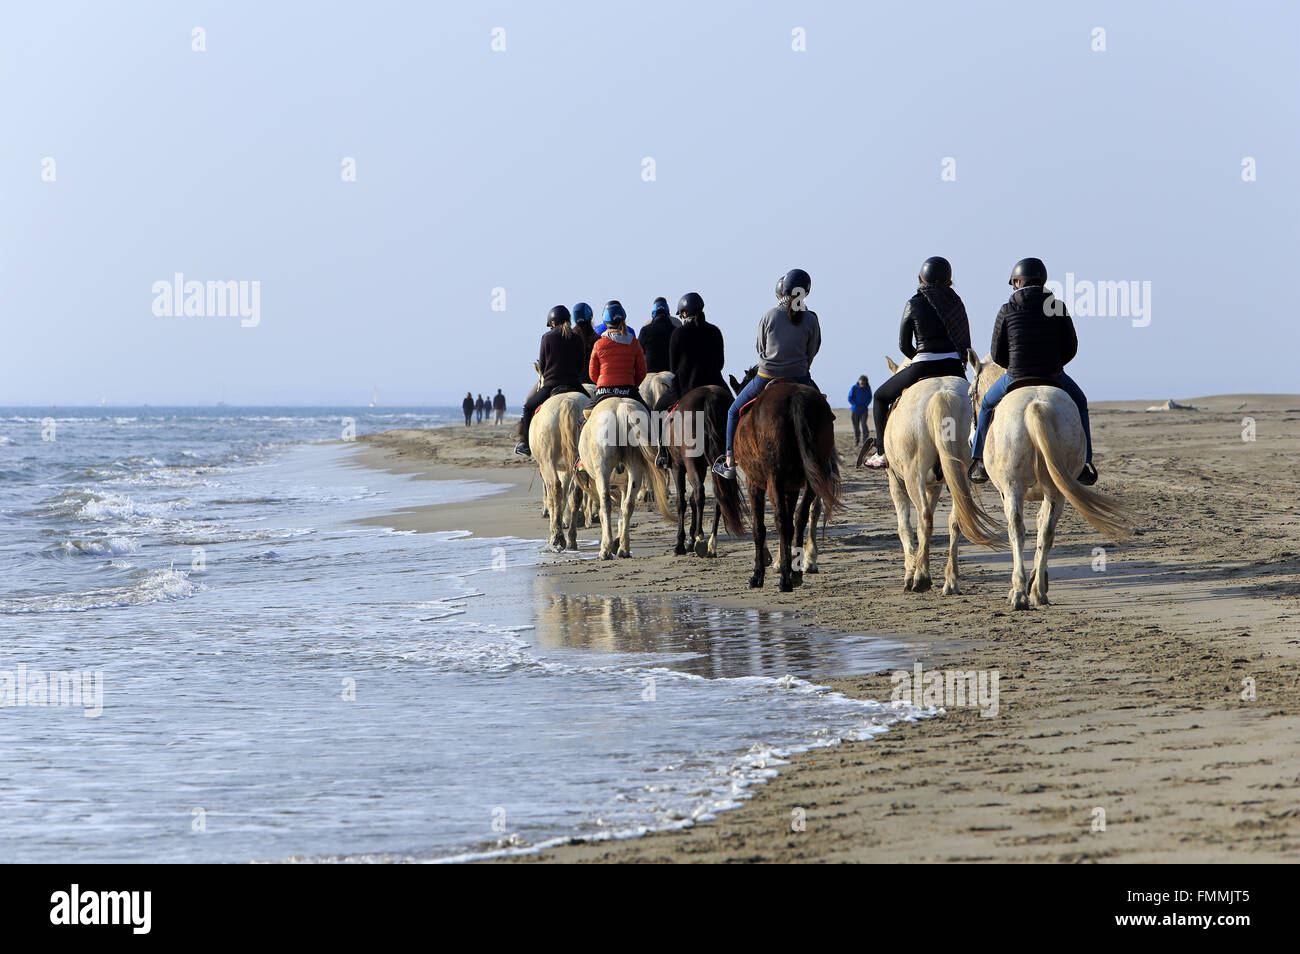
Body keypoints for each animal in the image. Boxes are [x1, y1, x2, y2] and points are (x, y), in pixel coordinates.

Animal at [585, 397, 676, 561]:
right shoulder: (624, 483)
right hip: (636, 466)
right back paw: (624, 548)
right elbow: (622, 509)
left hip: (603, 467)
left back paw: (605, 550)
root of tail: (620, 407)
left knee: (605, 502)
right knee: (628, 504)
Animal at [665, 382, 748, 556]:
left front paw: (681, 543)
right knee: (719, 497)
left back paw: (701, 538)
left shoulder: (678, 467)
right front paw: (690, 539)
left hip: (689, 463)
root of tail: (709, 396)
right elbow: (691, 500)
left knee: (700, 492)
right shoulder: (703, 466)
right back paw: (711, 542)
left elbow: (682, 502)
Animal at [728, 366, 837, 590]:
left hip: (774, 480)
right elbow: (792, 521)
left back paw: (785, 579)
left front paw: (757, 575)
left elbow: (759, 527)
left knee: (779, 522)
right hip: (812, 479)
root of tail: (795, 396)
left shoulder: (754, 483)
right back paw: (795, 574)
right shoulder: (792, 487)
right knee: (799, 517)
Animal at [873, 358, 1003, 595]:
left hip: (912, 475)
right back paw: (950, 580)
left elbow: (905, 526)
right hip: (959, 476)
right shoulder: (934, 485)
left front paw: (910, 572)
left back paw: (920, 578)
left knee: (924, 517)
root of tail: (943, 395)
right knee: (955, 520)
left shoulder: (896, 482)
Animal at [967, 350, 1128, 613]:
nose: (972, 438)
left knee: (1016, 528)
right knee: (1047, 531)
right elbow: (1043, 523)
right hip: (1056, 489)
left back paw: (1019, 593)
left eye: (971, 394)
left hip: (1013, 486)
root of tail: (1036, 405)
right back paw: (1038, 592)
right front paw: (1038, 580)